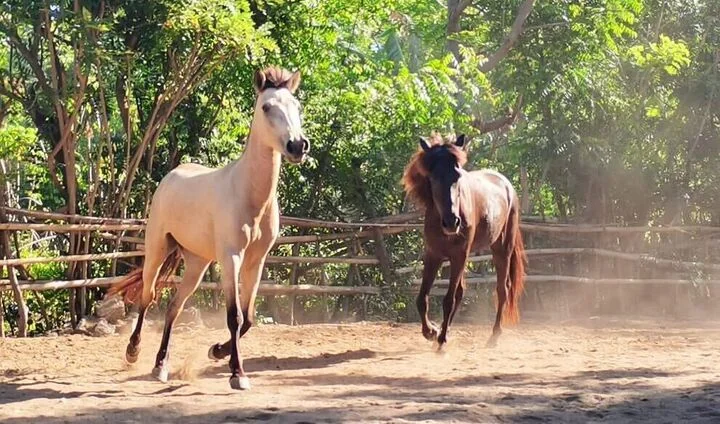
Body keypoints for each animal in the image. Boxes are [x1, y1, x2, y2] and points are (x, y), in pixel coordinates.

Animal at [107, 66, 310, 390]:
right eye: (266, 107)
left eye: (296, 105)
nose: (297, 146)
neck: (249, 195)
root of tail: (173, 174)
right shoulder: (231, 258)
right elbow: (234, 317)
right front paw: (237, 374)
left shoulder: (256, 261)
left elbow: (249, 317)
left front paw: (217, 351)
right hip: (157, 249)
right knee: (148, 297)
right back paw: (133, 351)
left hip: (197, 263)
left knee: (174, 306)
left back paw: (160, 366)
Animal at [402, 132, 527, 349]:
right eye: (433, 177)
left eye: (457, 176)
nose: (452, 222)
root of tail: (506, 184)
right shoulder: (434, 255)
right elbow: (422, 298)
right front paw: (431, 332)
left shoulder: (458, 255)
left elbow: (448, 300)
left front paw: (440, 339)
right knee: (461, 292)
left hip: (502, 249)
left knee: (502, 290)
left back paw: (494, 336)